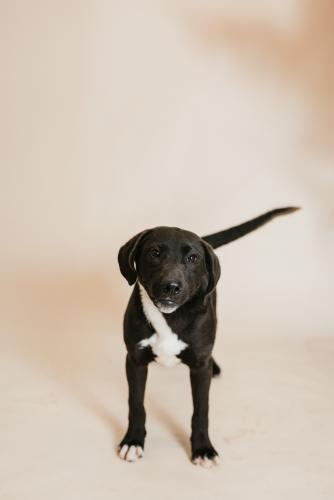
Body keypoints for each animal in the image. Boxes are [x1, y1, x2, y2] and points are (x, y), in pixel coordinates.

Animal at [117, 205, 298, 466]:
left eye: (193, 258)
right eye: (154, 252)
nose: (171, 286)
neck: (170, 318)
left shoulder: (200, 366)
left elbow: (201, 410)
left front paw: (203, 448)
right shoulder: (135, 360)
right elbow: (136, 404)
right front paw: (133, 440)